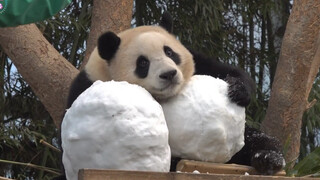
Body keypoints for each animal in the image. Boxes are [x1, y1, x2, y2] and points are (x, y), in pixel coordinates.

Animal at [62, 11, 284, 178]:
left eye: (169, 52)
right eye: (143, 63)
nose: (169, 74)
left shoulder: (199, 60)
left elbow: (227, 70)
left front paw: (237, 89)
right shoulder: (85, 88)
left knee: (255, 138)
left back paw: (268, 158)